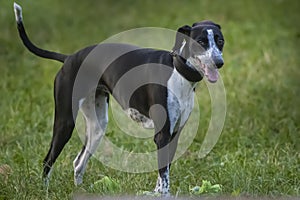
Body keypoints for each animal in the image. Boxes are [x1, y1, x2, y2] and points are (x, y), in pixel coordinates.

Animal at [14, 2, 225, 196]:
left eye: (220, 41)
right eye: (201, 41)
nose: (219, 62)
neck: (177, 71)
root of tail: (68, 58)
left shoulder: (174, 134)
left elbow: (163, 172)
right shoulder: (162, 135)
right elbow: (164, 176)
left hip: (97, 126)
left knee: (78, 163)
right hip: (65, 123)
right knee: (48, 160)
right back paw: (45, 191)